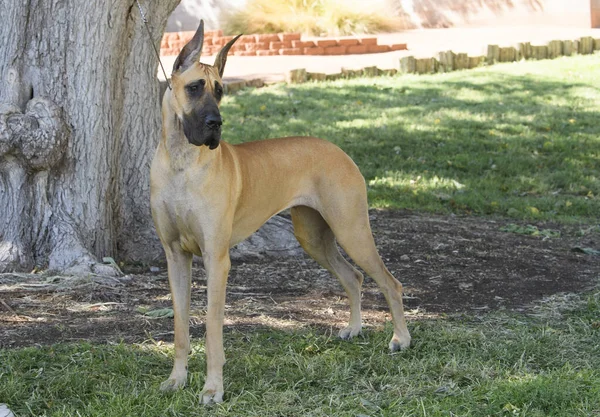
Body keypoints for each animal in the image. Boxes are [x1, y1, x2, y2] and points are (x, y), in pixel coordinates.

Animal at [151, 20, 412, 404]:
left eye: (220, 91)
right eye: (195, 87)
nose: (216, 123)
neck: (182, 163)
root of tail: (339, 150)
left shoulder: (216, 259)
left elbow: (212, 328)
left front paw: (213, 388)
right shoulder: (175, 256)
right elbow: (181, 327)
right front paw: (175, 380)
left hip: (351, 230)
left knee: (390, 282)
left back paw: (401, 339)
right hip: (313, 237)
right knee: (354, 277)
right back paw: (353, 329)